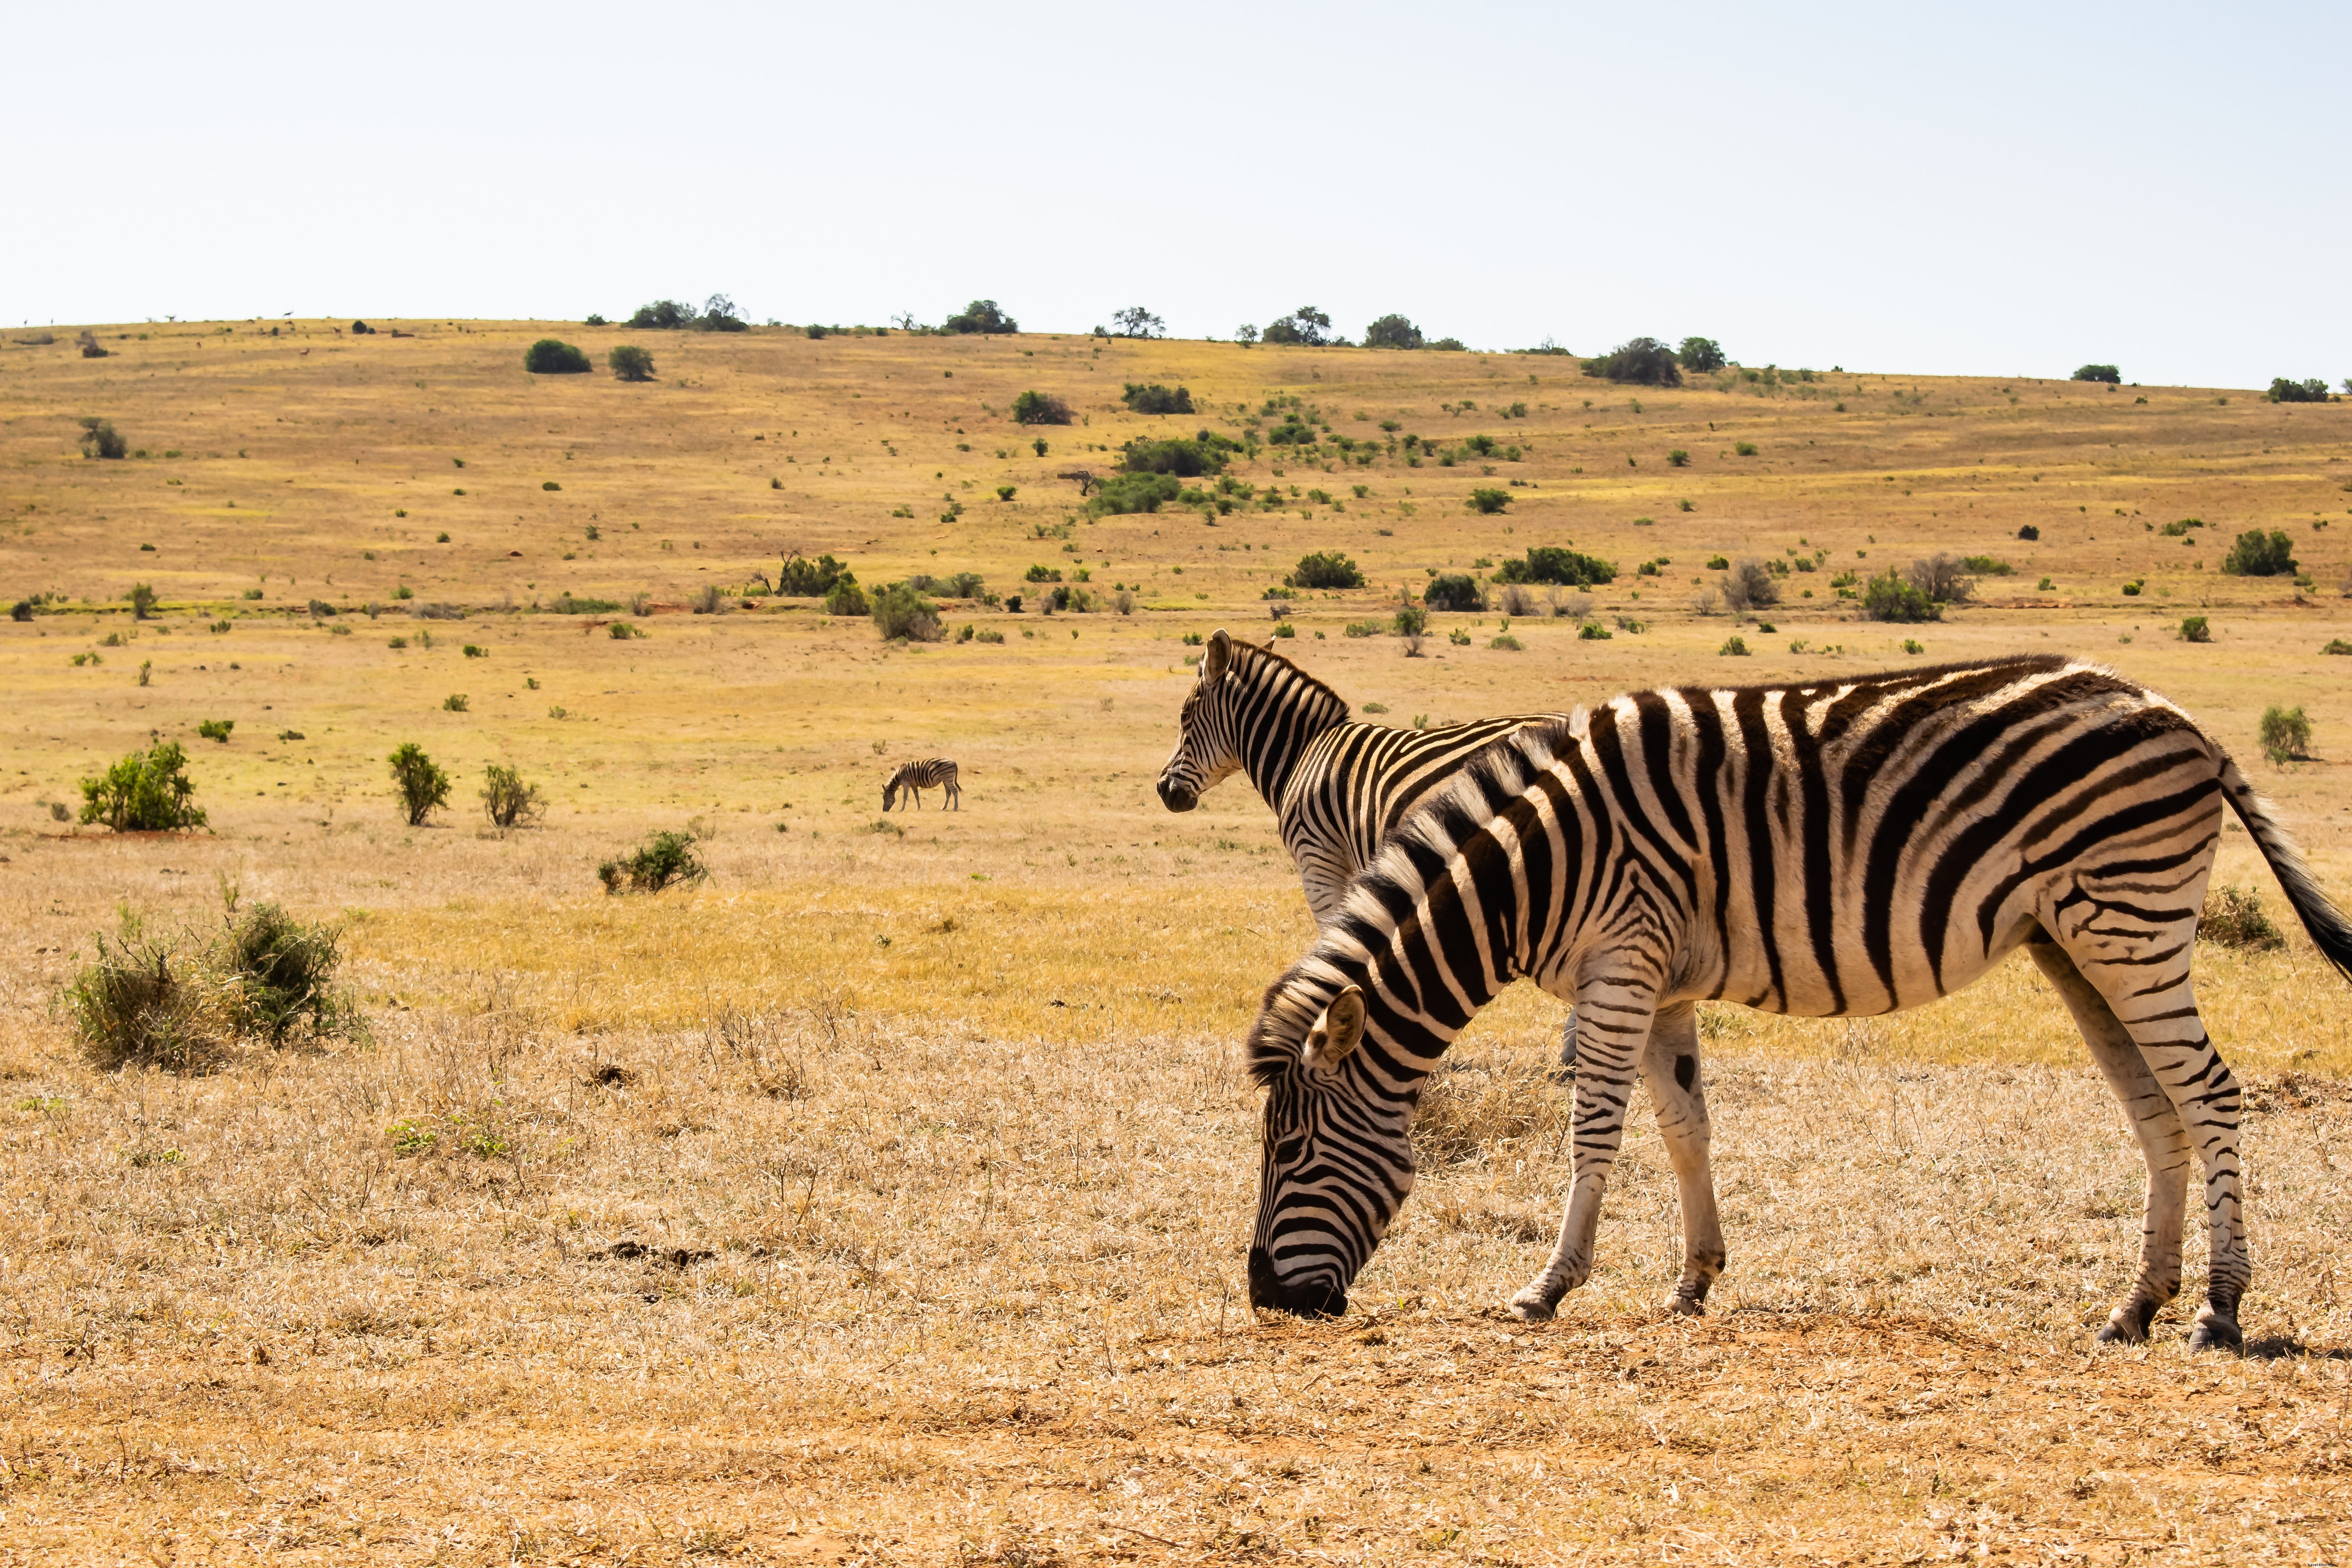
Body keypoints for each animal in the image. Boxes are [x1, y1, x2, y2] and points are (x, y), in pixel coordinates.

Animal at [880, 757, 960, 808]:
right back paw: (944, 808)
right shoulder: (914, 785)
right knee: (949, 793)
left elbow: (905, 797)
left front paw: (902, 809)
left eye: (884, 798)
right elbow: (917, 796)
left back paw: (955, 808)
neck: (899, 776)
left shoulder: (906, 784)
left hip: (948, 779)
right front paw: (919, 808)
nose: (884, 810)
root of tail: (954, 762)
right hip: (945, 780)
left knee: (955, 791)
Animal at [1242, 658, 2343, 1354]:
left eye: (1288, 1149)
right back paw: (2135, 1306)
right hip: (2078, 941)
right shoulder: (1663, 977)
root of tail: (2186, 721)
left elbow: (1594, 1129)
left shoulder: (1620, 960)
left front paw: (1550, 1284)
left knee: (2211, 1093)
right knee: (2158, 1107)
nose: (1266, 1299)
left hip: (2131, 920)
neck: (1534, 867)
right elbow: (1685, 1127)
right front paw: (1693, 1280)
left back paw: (2220, 1310)